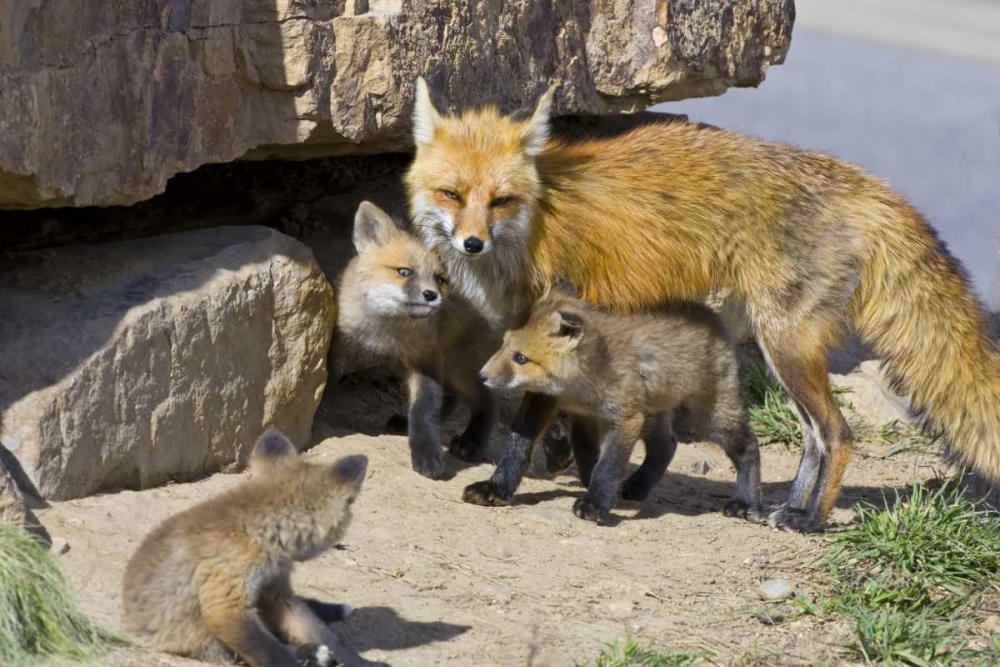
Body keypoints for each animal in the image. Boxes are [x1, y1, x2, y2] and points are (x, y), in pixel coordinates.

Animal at [121, 429, 378, 667]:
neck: (260, 535)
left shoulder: (277, 591)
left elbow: (323, 634)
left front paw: (359, 662)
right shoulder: (226, 605)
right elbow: (274, 653)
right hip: (213, 644)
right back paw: (313, 653)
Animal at [332, 200, 498, 479]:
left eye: (440, 280)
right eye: (404, 272)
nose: (431, 295)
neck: (385, 334)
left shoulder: (427, 356)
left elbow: (424, 408)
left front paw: (427, 453)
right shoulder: (343, 338)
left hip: (460, 368)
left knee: (486, 400)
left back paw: (472, 442)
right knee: (452, 397)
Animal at [473, 284, 762, 524]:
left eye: (521, 358)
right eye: (502, 346)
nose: (481, 376)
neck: (576, 388)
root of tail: (710, 314)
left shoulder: (625, 418)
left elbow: (607, 465)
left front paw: (594, 503)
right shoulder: (557, 405)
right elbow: (522, 447)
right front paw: (496, 488)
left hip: (708, 418)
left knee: (749, 446)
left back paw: (745, 501)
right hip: (653, 413)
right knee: (666, 445)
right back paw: (638, 486)